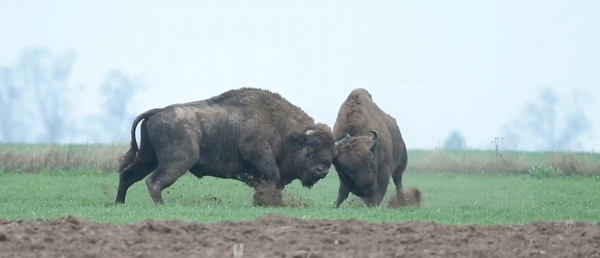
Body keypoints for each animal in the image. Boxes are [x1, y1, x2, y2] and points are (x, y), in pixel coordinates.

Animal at [116, 87, 342, 207]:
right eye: (311, 144)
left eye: (333, 152)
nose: (322, 170)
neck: (284, 130)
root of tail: (158, 111)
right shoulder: (257, 151)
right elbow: (273, 176)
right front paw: (266, 201)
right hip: (177, 162)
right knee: (153, 181)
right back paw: (162, 206)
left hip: (148, 158)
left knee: (128, 176)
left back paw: (120, 203)